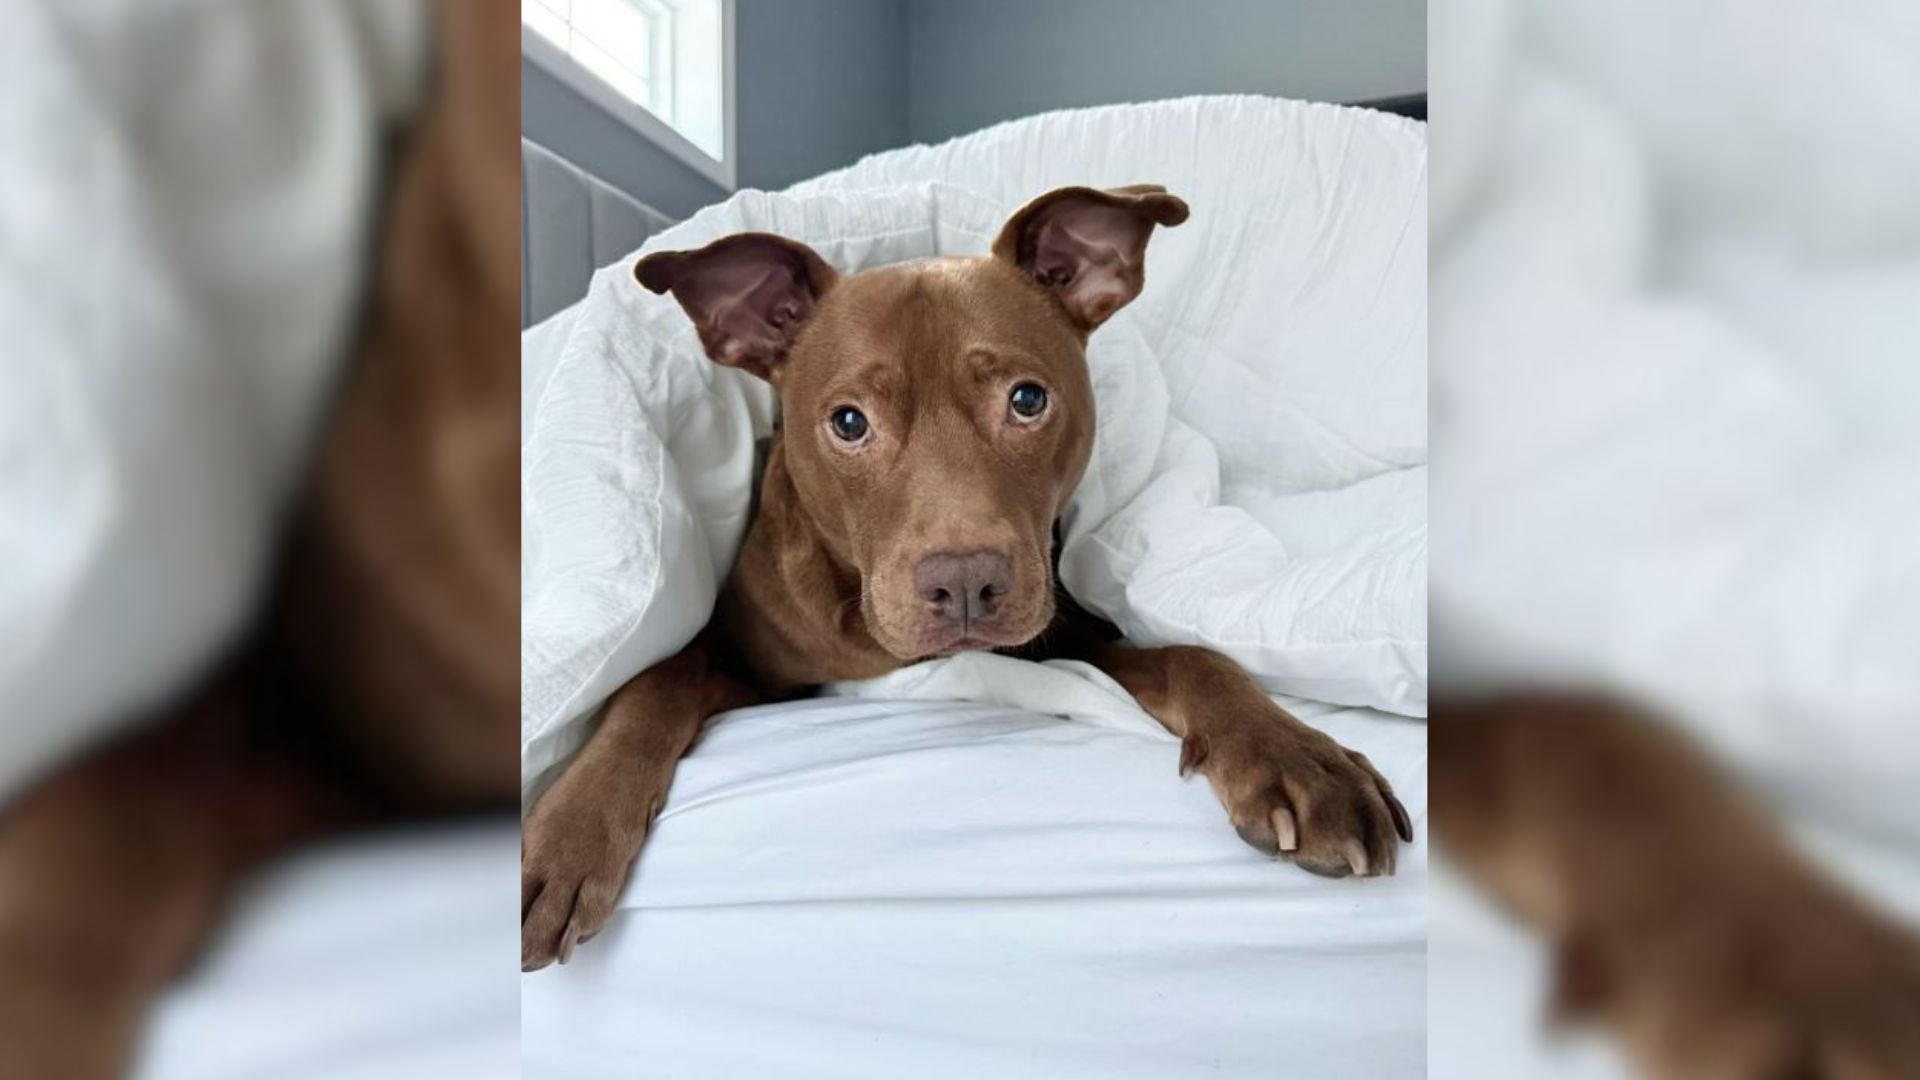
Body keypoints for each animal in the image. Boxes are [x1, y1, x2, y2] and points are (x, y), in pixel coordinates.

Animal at [518, 182, 1420, 968]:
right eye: (849, 423)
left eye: (1027, 400)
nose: (963, 586)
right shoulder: (741, 655)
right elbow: (653, 681)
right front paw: (567, 833)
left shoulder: (1072, 633)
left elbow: (1191, 657)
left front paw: (1294, 755)